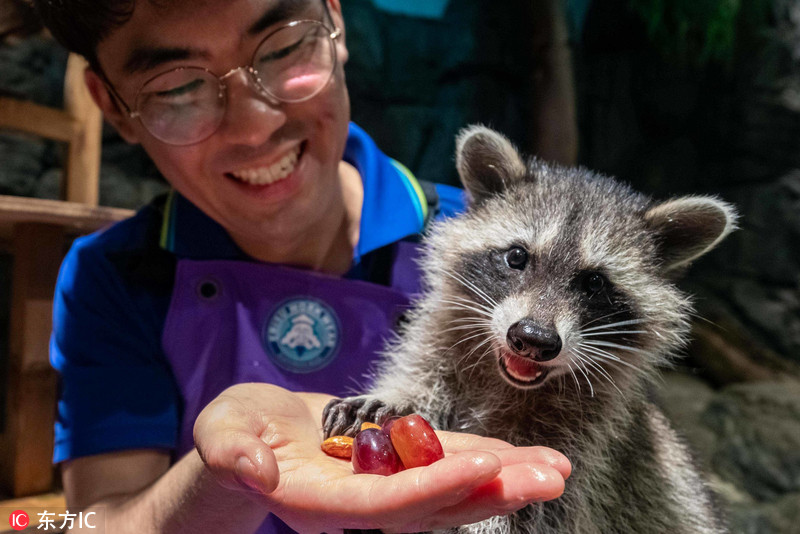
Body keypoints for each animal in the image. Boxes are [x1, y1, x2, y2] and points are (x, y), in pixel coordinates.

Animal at [322, 126, 736, 534]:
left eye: (595, 283)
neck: (505, 381)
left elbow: (546, 508)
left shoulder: (596, 442)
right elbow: (422, 378)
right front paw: (393, 398)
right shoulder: (442, 340)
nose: (533, 339)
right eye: (517, 256)